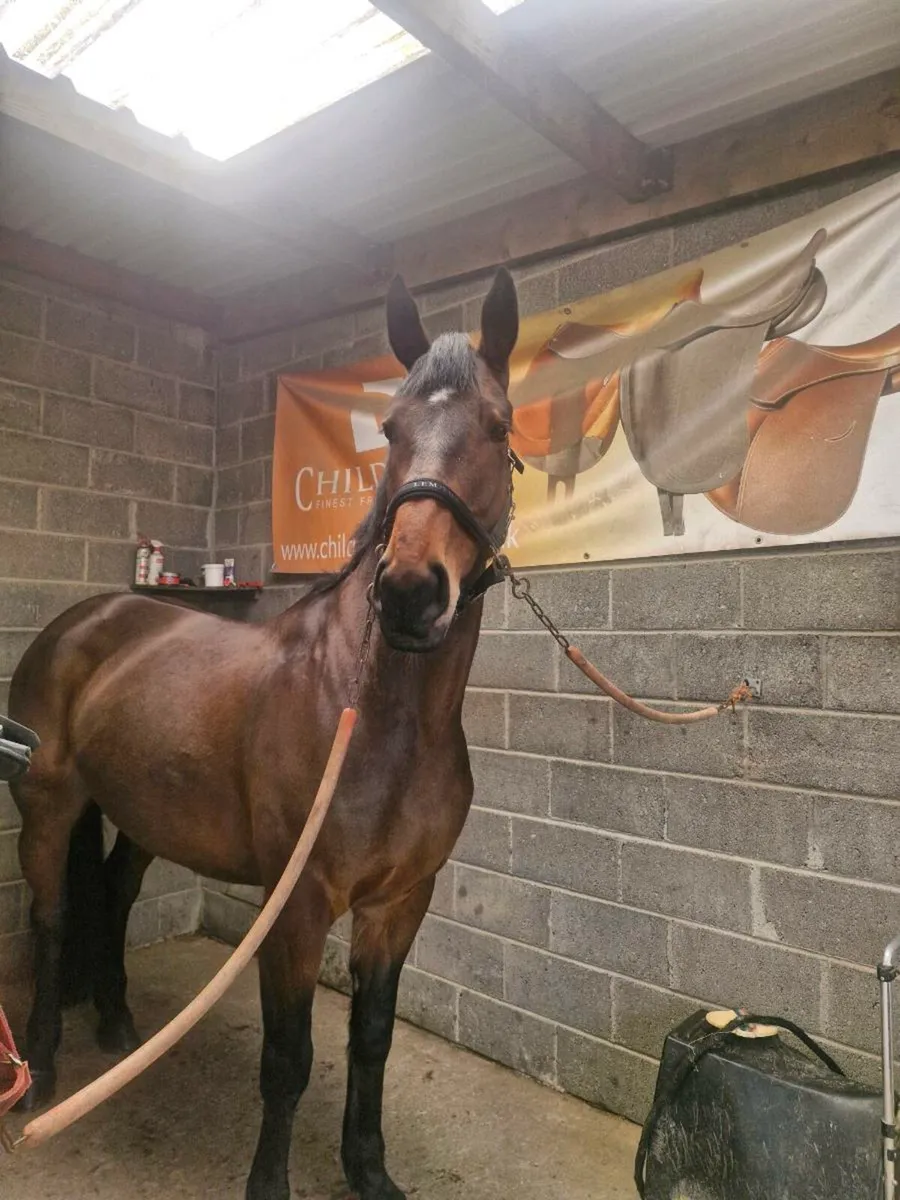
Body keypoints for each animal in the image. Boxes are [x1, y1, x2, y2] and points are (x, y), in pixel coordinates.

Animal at [7, 268, 521, 1200]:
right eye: (389, 429)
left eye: (497, 427)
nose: (409, 593)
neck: (377, 716)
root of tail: (81, 621)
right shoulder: (298, 906)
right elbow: (289, 1058)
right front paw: (270, 1183)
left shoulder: (401, 903)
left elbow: (371, 1040)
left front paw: (369, 1171)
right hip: (49, 807)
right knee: (54, 916)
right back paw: (45, 1071)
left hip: (142, 814)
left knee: (115, 894)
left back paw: (119, 1023)